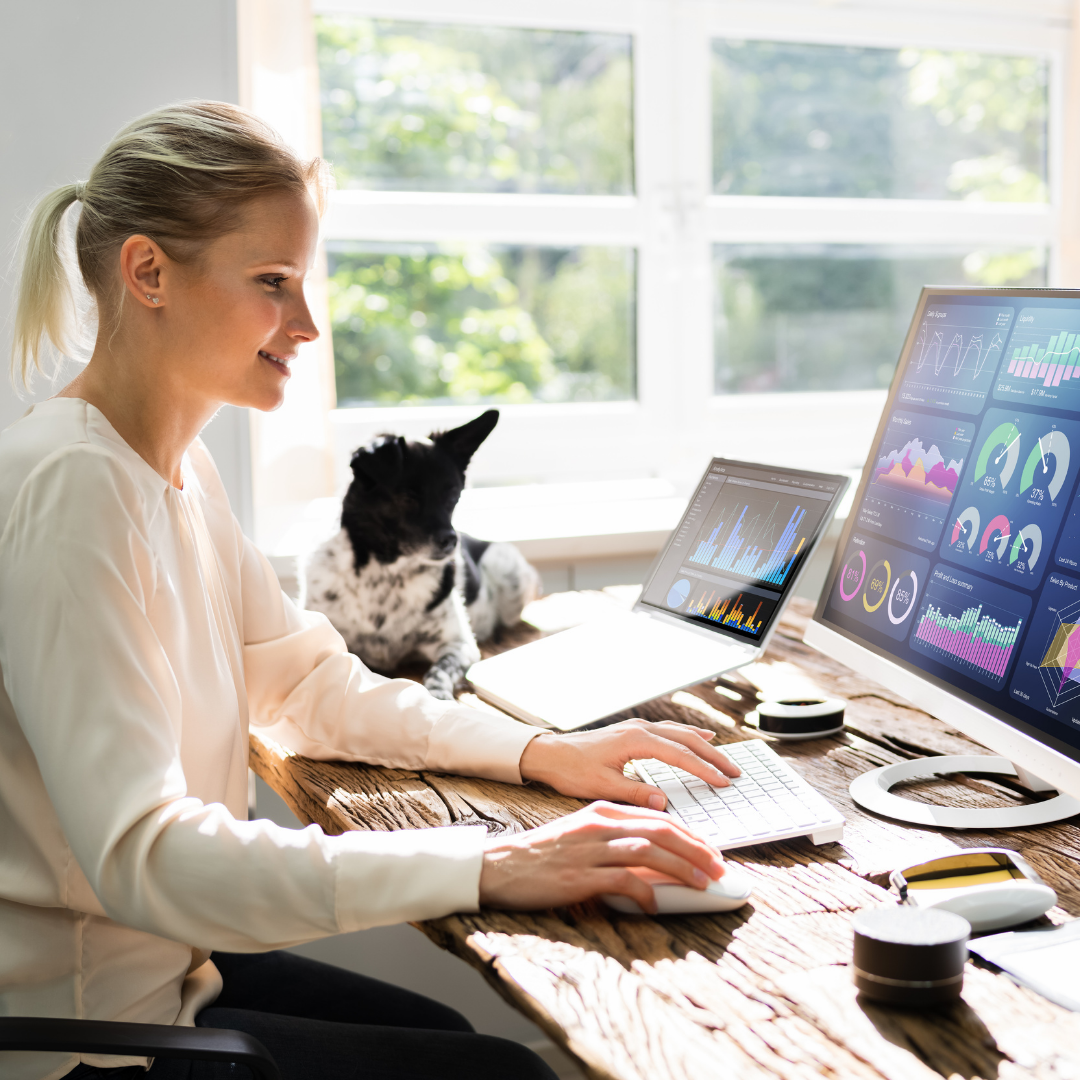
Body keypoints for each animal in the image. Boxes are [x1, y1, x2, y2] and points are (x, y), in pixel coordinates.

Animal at [304, 406, 540, 699]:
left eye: (454, 496)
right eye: (408, 497)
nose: (451, 541)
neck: (386, 572)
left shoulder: (458, 644)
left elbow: (438, 672)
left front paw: (439, 697)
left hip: (509, 571)